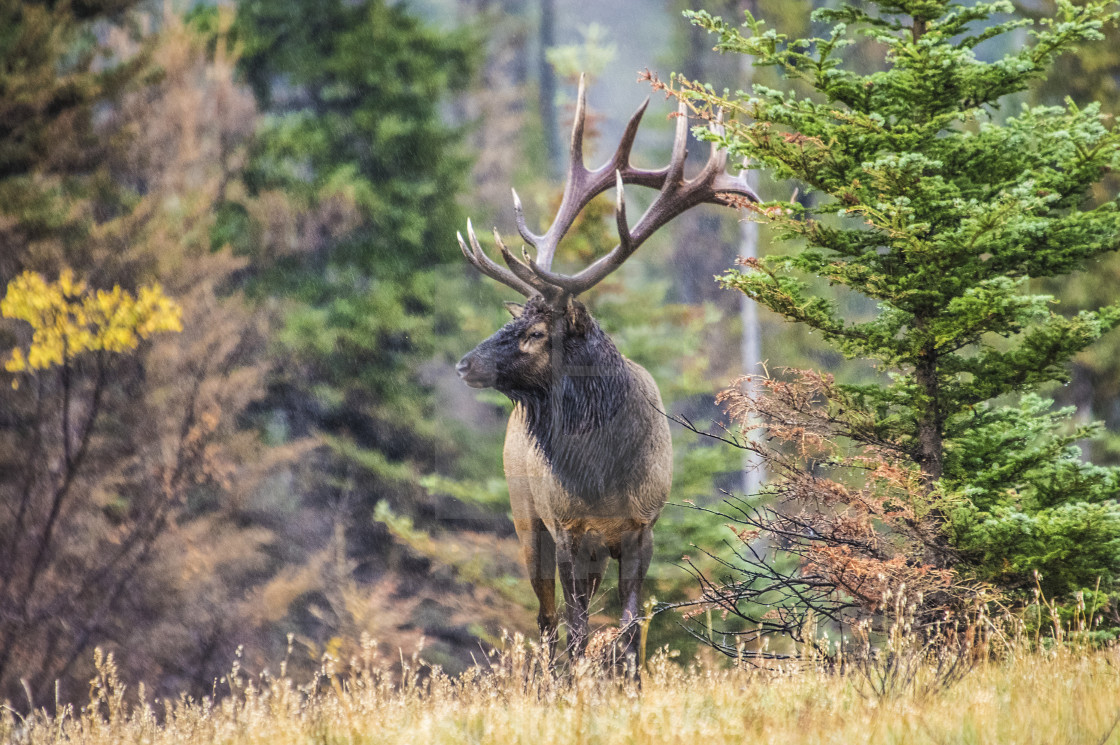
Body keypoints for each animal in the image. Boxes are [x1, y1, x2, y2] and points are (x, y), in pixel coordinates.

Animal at [454, 76, 761, 667]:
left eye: (535, 332)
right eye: (515, 321)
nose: (464, 364)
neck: (604, 477)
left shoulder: (642, 528)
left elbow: (629, 628)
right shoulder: (569, 529)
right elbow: (576, 629)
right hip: (527, 520)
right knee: (547, 621)